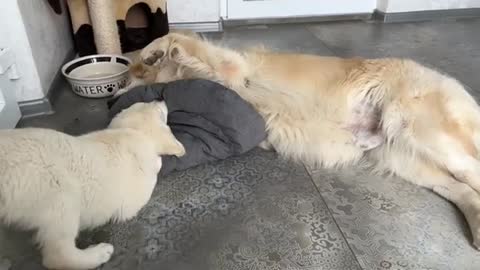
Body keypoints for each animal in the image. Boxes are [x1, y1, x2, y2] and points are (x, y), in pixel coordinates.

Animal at [0, 102, 184, 270]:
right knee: (58, 255)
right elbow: (154, 170)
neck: (133, 133)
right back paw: (99, 253)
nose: (161, 100)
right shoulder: (132, 199)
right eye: (160, 111)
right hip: (60, 197)